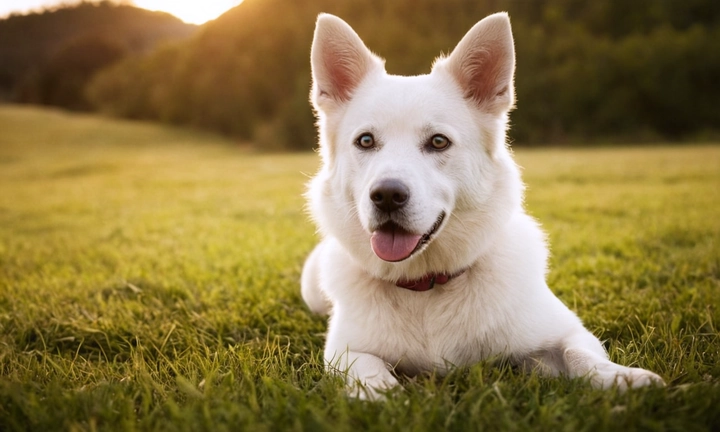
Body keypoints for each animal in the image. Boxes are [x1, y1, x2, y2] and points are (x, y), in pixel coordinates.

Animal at [300, 11, 664, 400]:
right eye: (366, 141)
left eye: (438, 142)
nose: (386, 196)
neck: (427, 286)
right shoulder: (345, 352)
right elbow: (368, 373)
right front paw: (384, 396)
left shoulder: (569, 333)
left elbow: (580, 356)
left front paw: (626, 379)